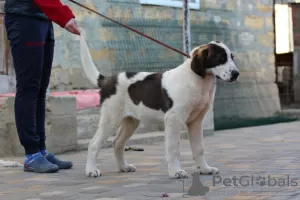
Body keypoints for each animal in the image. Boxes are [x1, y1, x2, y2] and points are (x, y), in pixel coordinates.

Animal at [79, 35, 239, 179]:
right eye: (221, 58)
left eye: (232, 57)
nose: (236, 74)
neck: (199, 81)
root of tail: (107, 80)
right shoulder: (173, 120)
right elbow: (173, 148)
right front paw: (175, 172)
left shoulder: (196, 122)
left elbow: (199, 148)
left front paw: (204, 169)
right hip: (111, 119)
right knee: (93, 144)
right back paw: (91, 170)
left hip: (131, 121)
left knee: (117, 142)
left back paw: (123, 167)